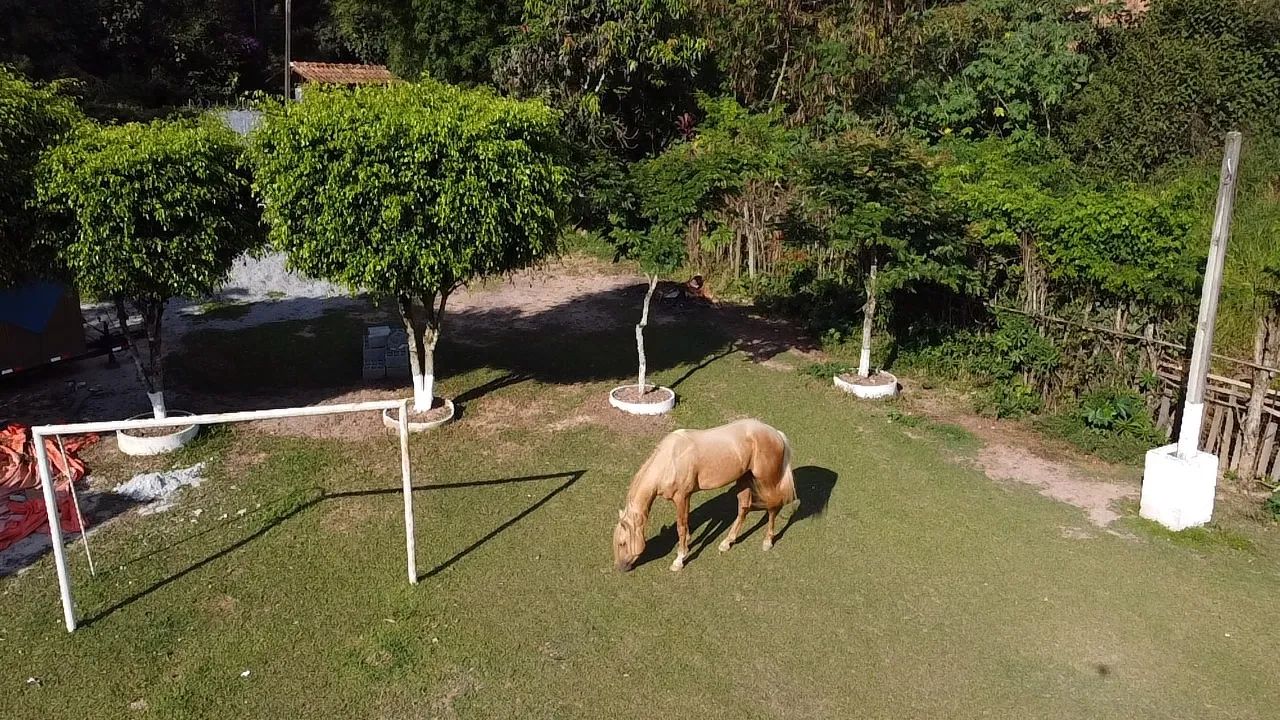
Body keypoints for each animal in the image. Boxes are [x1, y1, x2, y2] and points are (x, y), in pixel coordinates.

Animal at [613, 419, 797, 572]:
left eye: (622, 543)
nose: (621, 568)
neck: (670, 461)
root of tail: (776, 434)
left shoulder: (681, 497)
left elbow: (681, 526)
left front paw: (679, 560)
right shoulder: (686, 497)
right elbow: (686, 523)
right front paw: (687, 546)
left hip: (766, 481)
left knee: (773, 507)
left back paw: (767, 542)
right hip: (744, 480)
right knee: (743, 508)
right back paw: (726, 543)